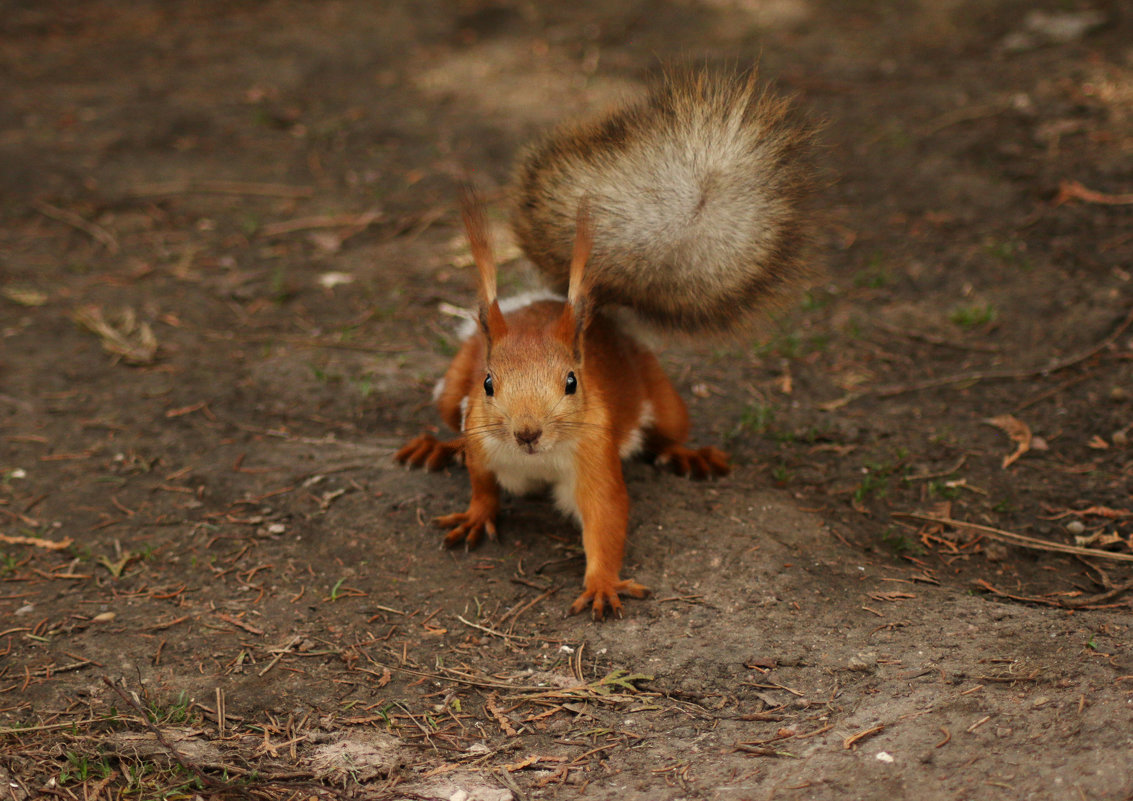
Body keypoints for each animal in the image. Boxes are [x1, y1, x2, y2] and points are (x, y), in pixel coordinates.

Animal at [398, 68, 815, 620]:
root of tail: (557, 303)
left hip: (663, 397)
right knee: (450, 422)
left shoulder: (594, 454)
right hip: (450, 393)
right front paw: (473, 514)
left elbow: (606, 517)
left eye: (572, 382)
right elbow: (482, 486)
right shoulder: (481, 438)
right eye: (488, 383)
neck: (535, 461)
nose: (527, 433)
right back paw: (435, 445)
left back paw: (688, 455)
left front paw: (601, 584)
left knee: (669, 430)